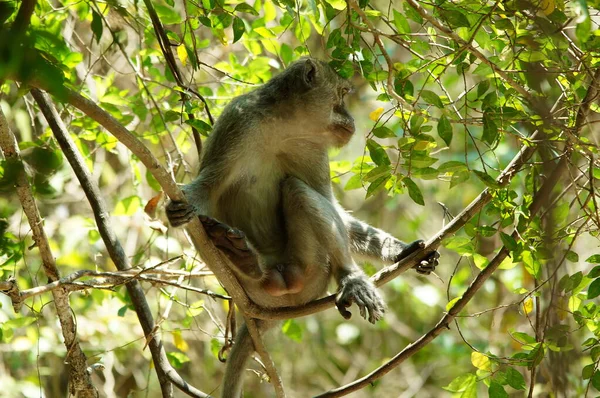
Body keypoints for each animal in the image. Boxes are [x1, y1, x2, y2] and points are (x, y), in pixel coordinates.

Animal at [166, 57, 438, 396]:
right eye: (342, 93)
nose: (350, 117)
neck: (282, 126)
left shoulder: (312, 149)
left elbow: (331, 207)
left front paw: (402, 252)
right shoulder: (237, 121)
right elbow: (207, 190)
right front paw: (181, 207)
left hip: (313, 274)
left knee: (297, 190)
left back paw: (348, 277)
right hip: (254, 290)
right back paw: (244, 262)